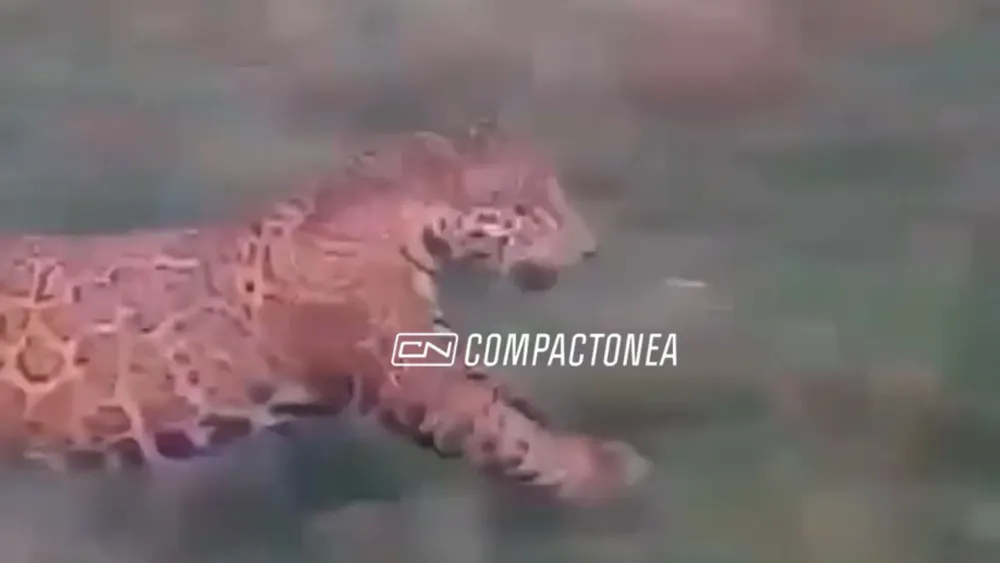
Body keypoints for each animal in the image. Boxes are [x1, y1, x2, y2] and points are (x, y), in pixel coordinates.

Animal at [0, 119, 648, 506]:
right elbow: (507, 429)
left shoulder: (432, 342)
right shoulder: (415, 376)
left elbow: (512, 400)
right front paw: (604, 472)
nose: (590, 248)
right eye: (534, 207)